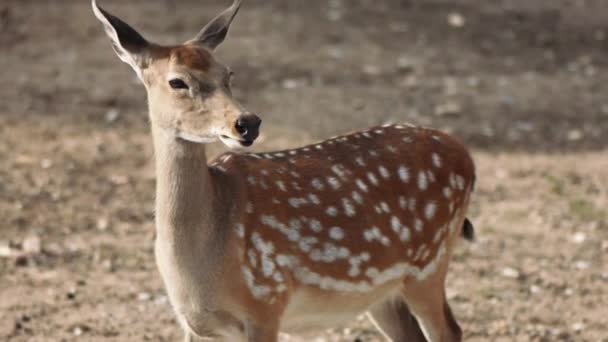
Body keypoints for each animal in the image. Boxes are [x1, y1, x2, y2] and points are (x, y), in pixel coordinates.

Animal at [94, 0, 476, 342]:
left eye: (228, 74)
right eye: (178, 82)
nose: (247, 122)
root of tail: (466, 155)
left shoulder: (266, 301)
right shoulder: (195, 325)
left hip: (428, 264)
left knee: (450, 330)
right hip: (382, 292)